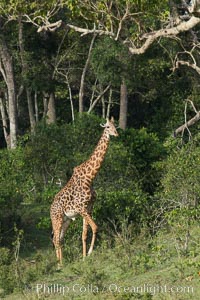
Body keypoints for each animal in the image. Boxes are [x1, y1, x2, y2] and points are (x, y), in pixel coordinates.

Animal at [50, 117, 119, 264]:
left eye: (115, 126)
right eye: (108, 127)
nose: (116, 134)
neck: (90, 177)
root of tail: (50, 209)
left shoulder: (88, 209)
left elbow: (84, 234)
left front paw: (84, 257)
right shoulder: (82, 209)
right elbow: (95, 227)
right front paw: (89, 252)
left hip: (66, 220)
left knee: (60, 239)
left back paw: (62, 263)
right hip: (57, 219)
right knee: (55, 239)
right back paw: (59, 264)